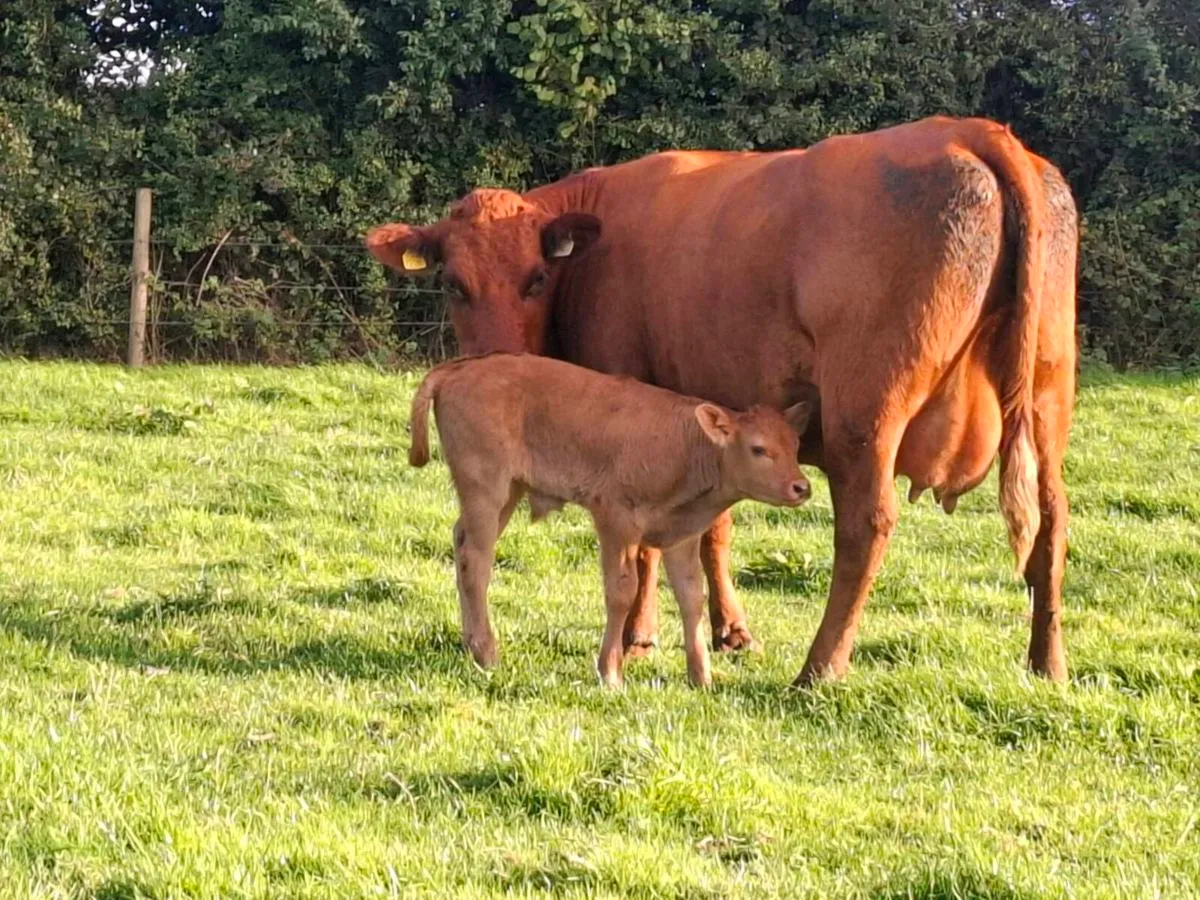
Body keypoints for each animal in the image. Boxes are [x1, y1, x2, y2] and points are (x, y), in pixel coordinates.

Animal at [407, 352, 812, 687]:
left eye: (794, 446)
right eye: (758, 449)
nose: (802, 487)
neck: (685, 444)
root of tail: (459, 368)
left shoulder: (680, 535)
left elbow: (690, 597)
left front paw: (701, 678)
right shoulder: (616, 519)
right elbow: (621, 592)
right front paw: (611, 672)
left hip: (508, 492)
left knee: (461, 544)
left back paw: (469, 643)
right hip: (487, 491)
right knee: (476, 561)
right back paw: (487, 652)